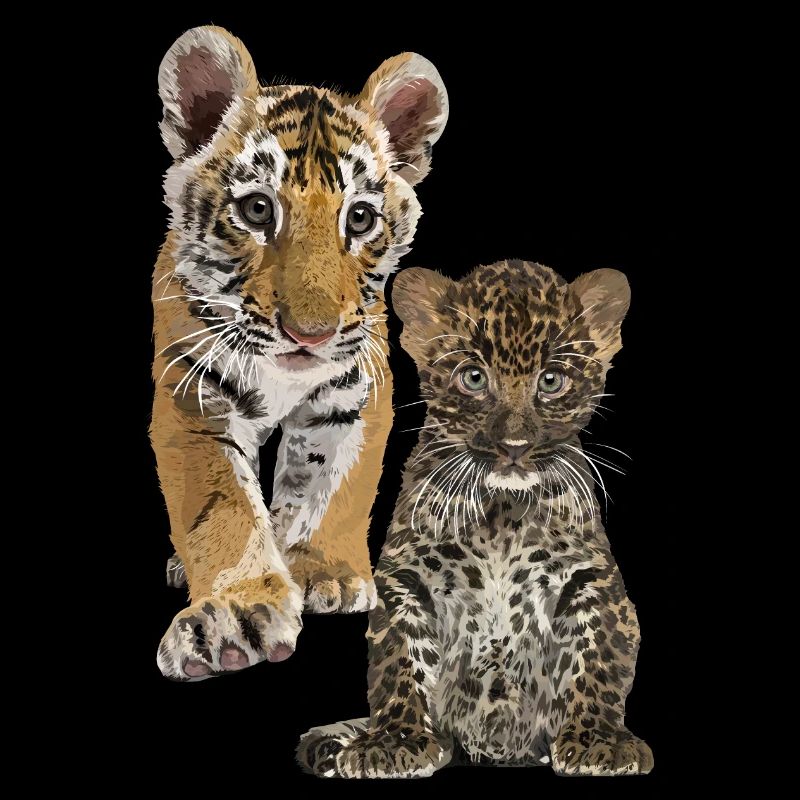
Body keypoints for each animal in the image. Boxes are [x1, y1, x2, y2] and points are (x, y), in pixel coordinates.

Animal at [150, 25, 448, 680]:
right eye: (258, 209)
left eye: (359, 218)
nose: (309, 335)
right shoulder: (193, 396)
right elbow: (225, 507)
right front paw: (235, 615)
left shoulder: (356, 390)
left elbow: (331, 485)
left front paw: (324, 572)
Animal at [297, 259, 653, 777]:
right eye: (473, 378)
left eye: (551, 381)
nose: (514, 446)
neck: (501, 513)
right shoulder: (407, 578)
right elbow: (399, 659)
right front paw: (393, 741)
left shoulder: (590, 578)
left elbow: (598, 656)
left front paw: (598, 742)